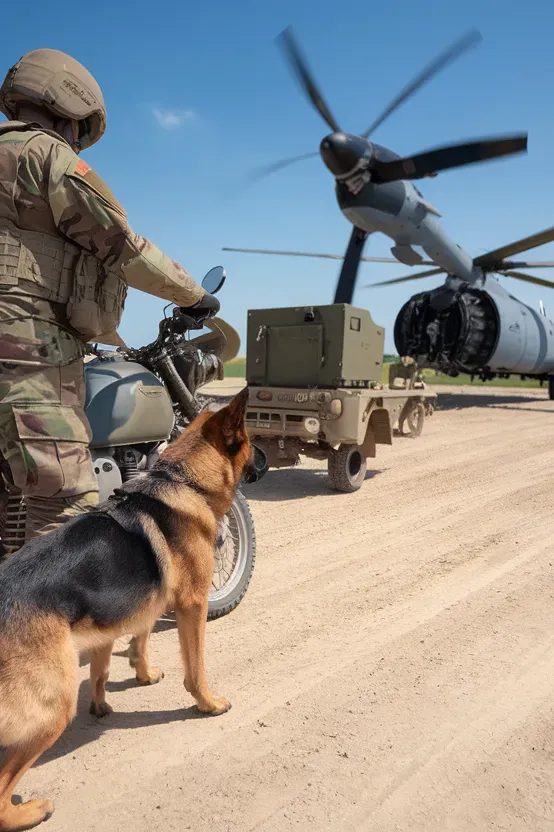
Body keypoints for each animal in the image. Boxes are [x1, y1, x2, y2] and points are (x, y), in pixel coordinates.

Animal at [0, 386, 256, 828]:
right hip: (53, 707)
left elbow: (124, 649)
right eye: (253, 443)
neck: (183, 480)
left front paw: (130, 683)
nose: (267, 461)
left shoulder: (125, 607)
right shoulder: (192, 605)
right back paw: (30, 811)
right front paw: (206, 703)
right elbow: (196, 666)